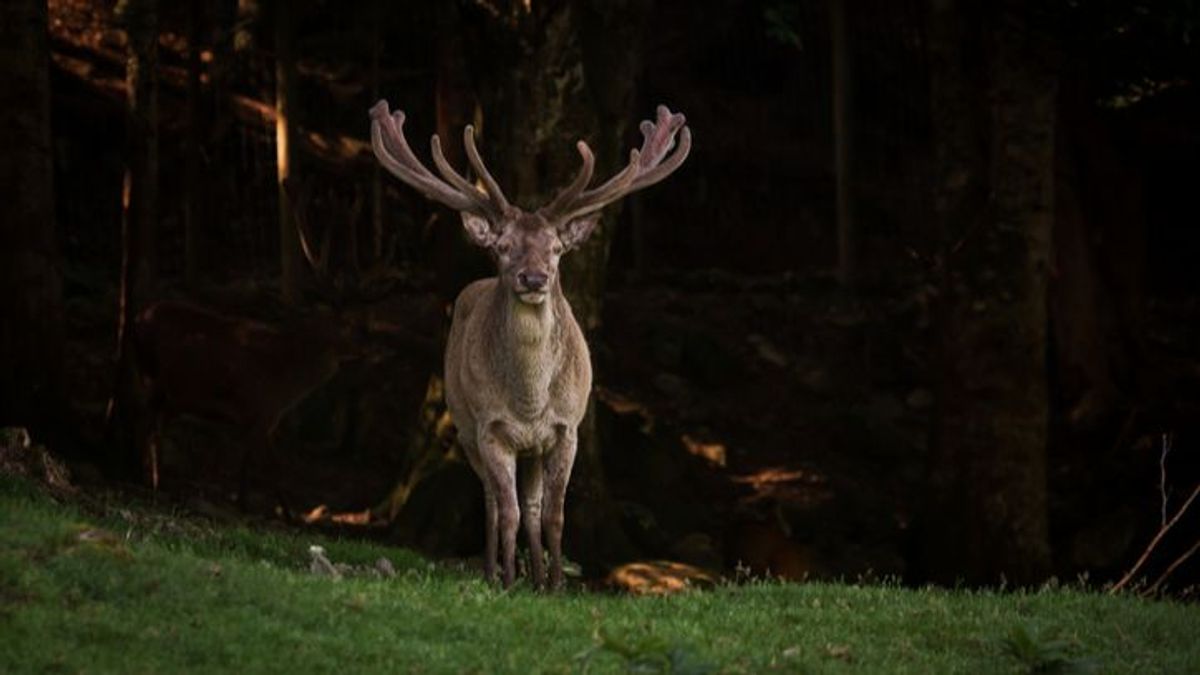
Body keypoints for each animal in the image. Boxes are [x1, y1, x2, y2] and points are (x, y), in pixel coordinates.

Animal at [372, 97, 696, 586]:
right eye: (503, 246)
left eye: (557, 248)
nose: (533, 278)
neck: (529, 402)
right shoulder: (490, 429)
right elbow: (505, 512)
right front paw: (508, 580)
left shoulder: (566, 428)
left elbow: (553, 514)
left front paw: (557, 583)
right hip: (464, 425)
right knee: (492, 501)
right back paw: (494, 572)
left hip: (533, 449)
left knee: (531, 503)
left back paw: (538, 576)